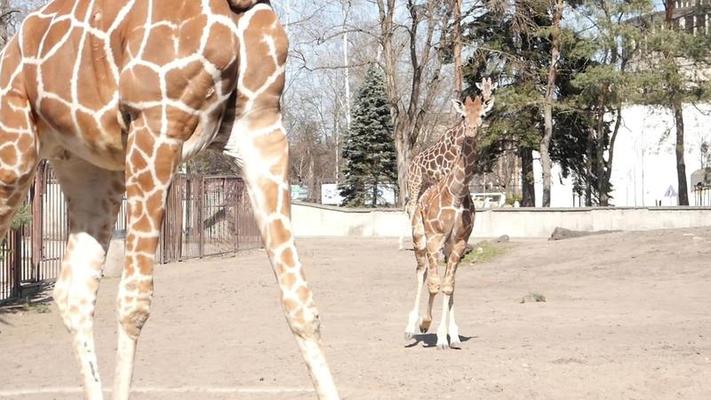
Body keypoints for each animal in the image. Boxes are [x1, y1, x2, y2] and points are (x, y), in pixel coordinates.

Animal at [0, 0, 340, 400]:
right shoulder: (156, 125)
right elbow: (134, 303)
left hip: (89, 172)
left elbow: (300, 301)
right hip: (15, 153)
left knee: (74, 292)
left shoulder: (262, 128)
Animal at [406, 78, 496, 346]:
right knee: (421, 271)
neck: (457, 192)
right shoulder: (435, 238)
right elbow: (434, 284)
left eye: (483, 114)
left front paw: (447, 336)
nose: (472, 129)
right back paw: (411, 326)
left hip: (444, 246)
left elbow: (449, 285)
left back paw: (448, 333)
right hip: (420, 237)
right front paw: (426, 324)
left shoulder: (458, 242)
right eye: (464, 114)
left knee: (441, 278)